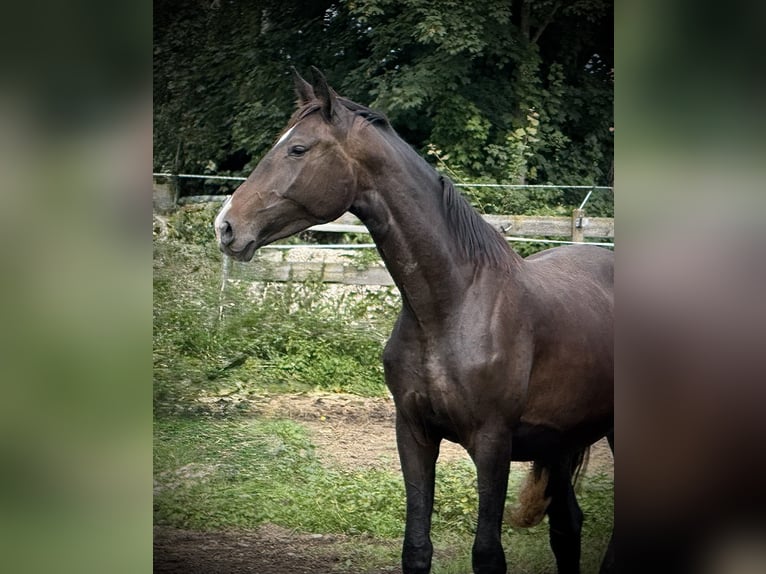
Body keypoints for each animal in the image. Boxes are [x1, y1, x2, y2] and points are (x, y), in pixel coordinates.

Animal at [214, 67, 614, 574]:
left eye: (298, 149)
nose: (226, 226)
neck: (453, 306)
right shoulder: (414, 434)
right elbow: (417, 548)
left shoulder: (493, 444)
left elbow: (487, 554)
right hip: (559, 445)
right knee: (567, 527)